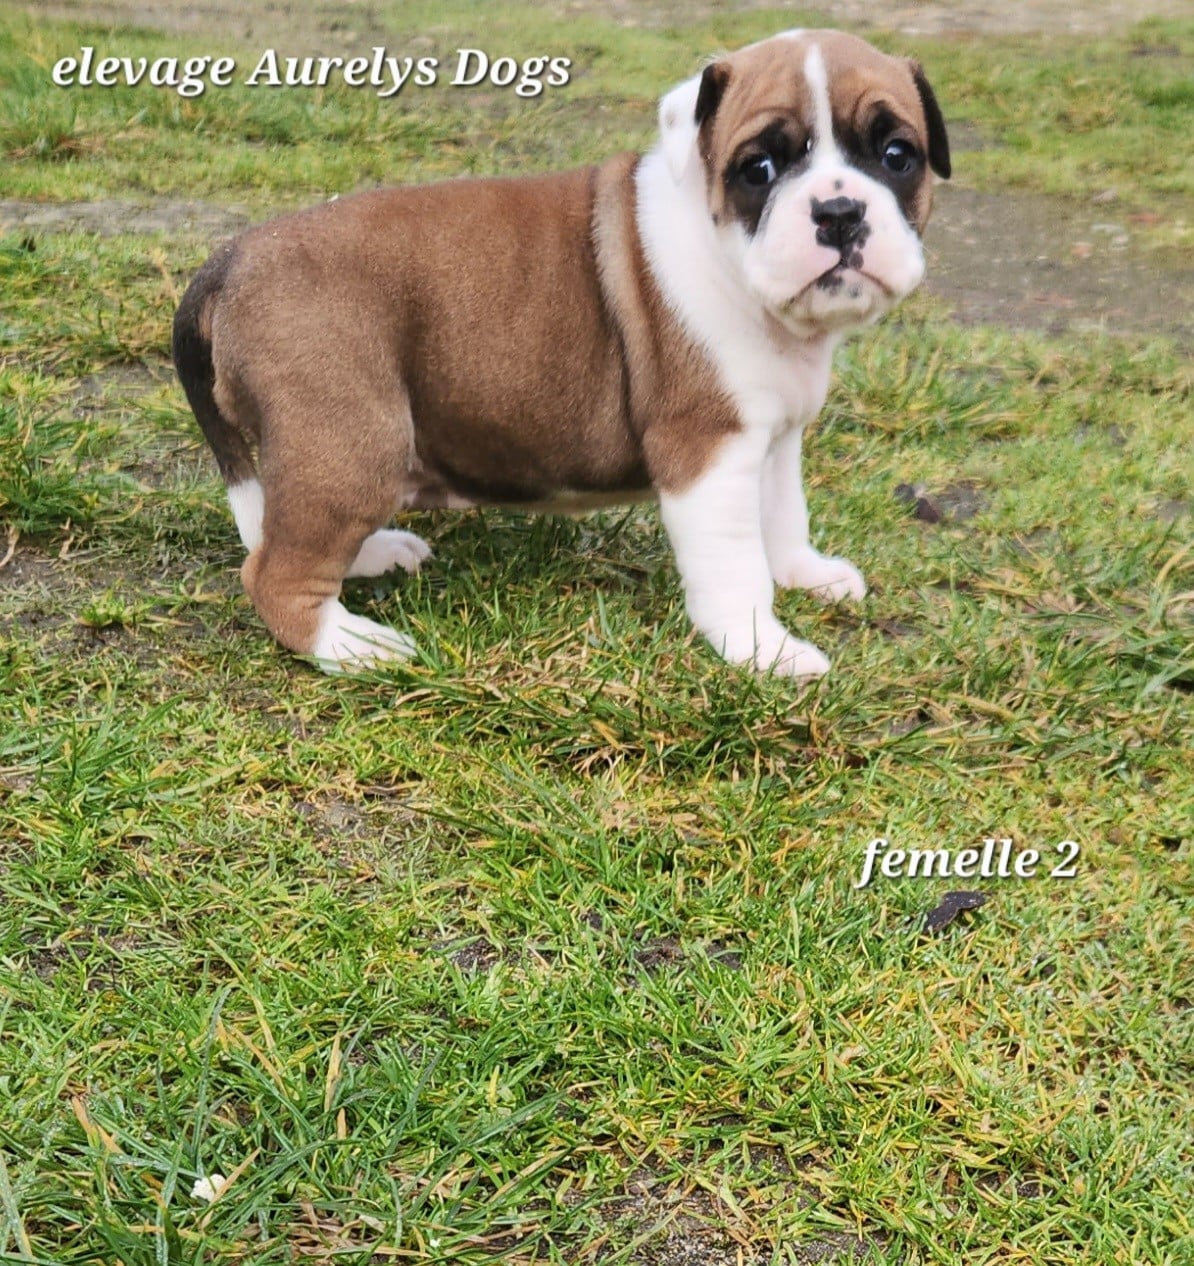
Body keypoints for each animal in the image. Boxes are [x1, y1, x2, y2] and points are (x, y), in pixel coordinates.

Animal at [173, 29, 949, 677]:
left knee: (287, 531)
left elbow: (785, 514)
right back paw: (350, 644)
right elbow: (734, 562)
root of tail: (235, 257)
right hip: (351, 440)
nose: (839, 213)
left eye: (897, 156)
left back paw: (372, 556)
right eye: (757, 168)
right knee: (274, 571)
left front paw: (804, 574)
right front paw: (762, 648)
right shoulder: (709, 449)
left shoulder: (776, 436)